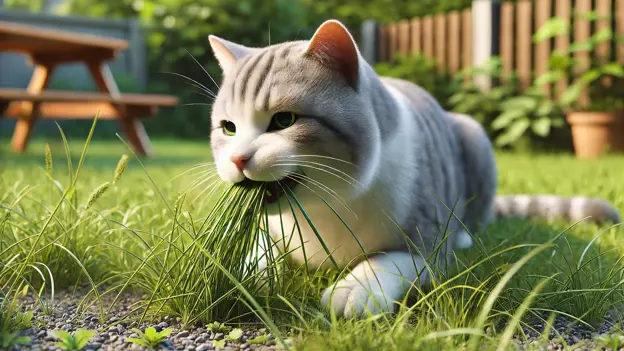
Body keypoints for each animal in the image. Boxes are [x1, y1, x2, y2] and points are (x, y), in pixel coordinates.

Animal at [207, 20, 620, 320]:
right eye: (228, 127)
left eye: (284, 120)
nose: (237, 159)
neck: (325, 207)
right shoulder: (274, 227)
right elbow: (259, 249)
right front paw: (243, 273)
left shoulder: (429, 243)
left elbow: (388, 261)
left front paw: (353, 291)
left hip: (474, 136)